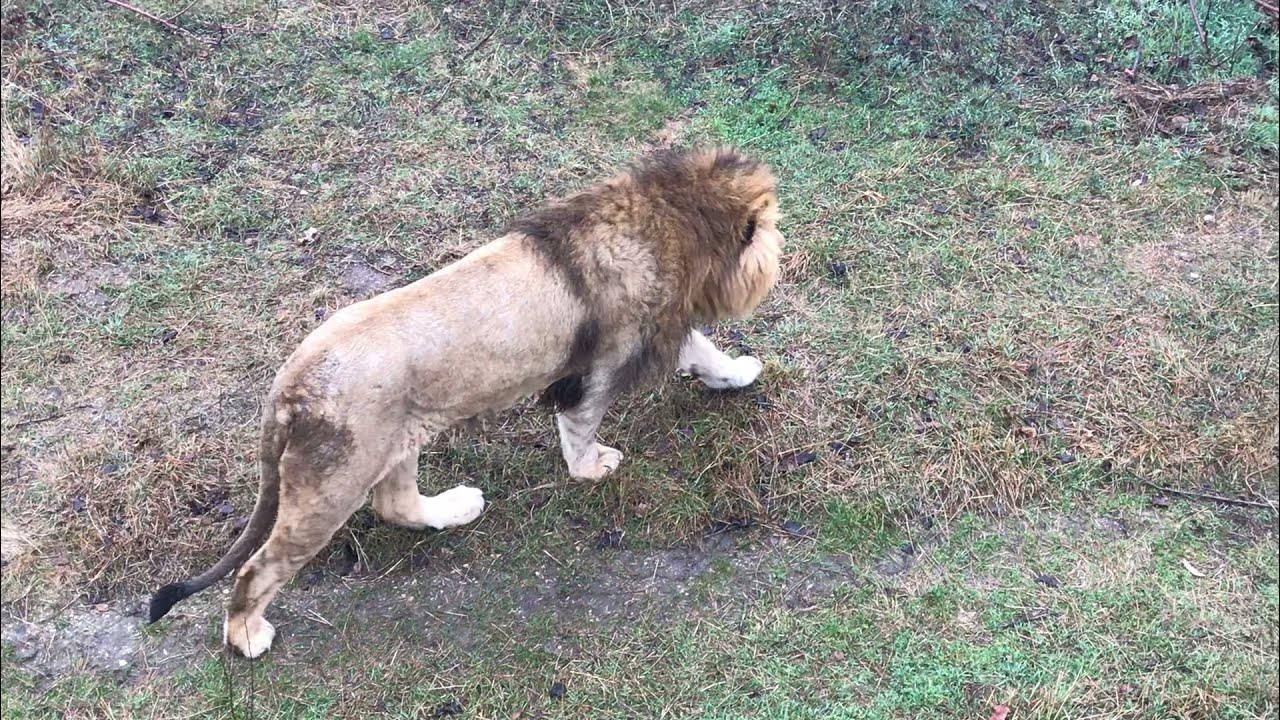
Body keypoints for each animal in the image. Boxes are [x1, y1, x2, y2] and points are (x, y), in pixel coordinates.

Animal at [142, 146, 778, 655]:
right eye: (769, 223)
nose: (784, 244)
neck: (657, 218)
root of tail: (291, 381)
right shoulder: (602, 363)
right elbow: (580, 425)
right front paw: (594, 468)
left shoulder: (660, 331)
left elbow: (705, 352)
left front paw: (738, 373)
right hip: (332, 483)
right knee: (258, 569)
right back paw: (246, 636)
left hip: (398, 440)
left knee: (396, 505)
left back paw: (456, 507)